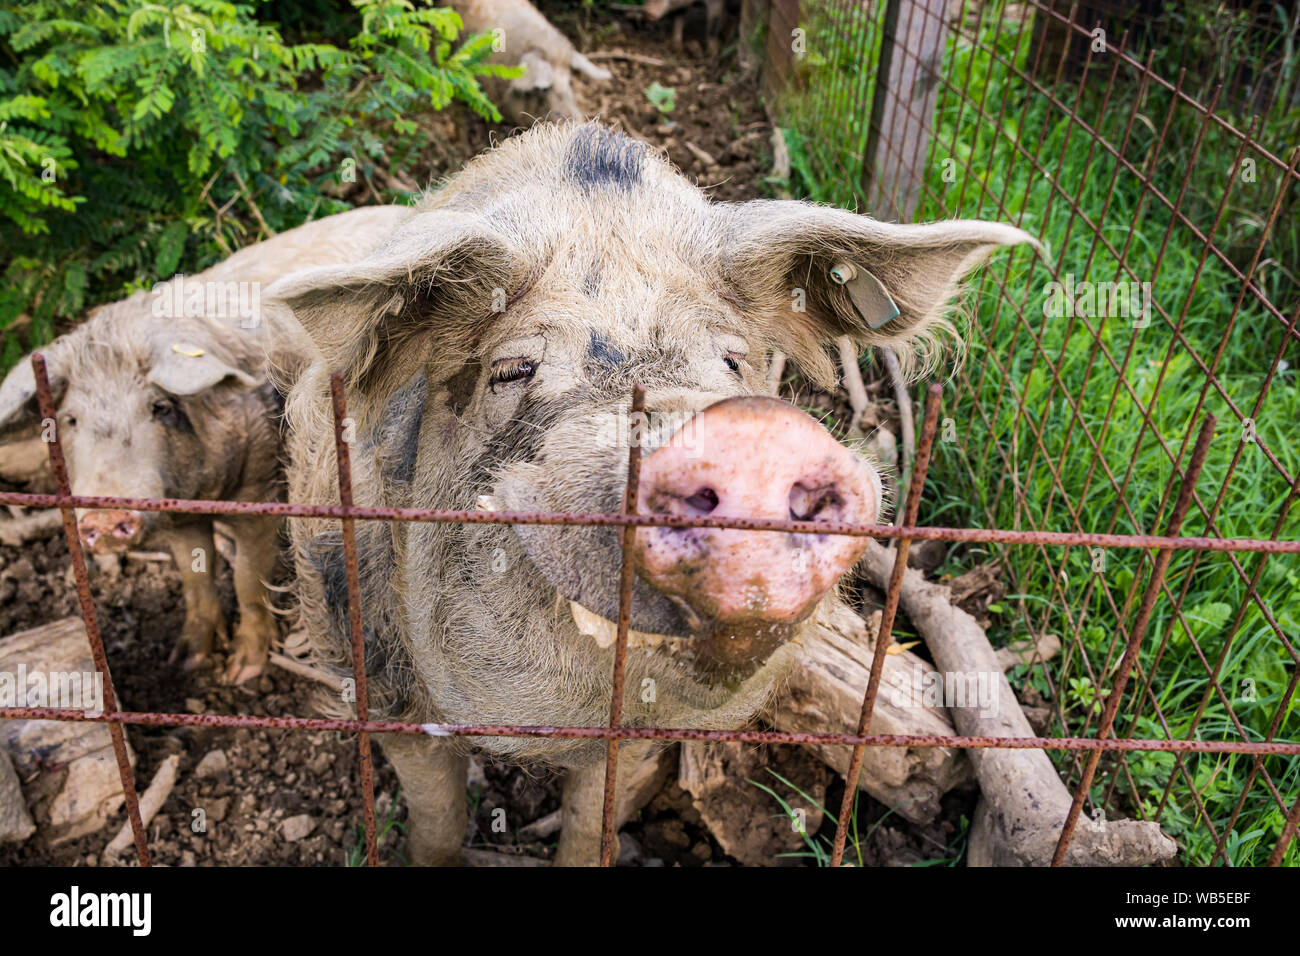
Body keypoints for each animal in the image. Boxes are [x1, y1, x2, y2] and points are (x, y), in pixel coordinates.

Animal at [0, 205, 405, 686]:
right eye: (70, 419)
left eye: (159, 407)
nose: (104, 513)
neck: (204, 494)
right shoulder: (175, 512)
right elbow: (196, 580)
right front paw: (187, 661)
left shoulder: (261, 491)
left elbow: (247, 580)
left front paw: (241, 673)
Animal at [271, 123, 1034, 863]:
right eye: (512, 370)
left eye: (734, 360)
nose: (748, 436)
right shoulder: (370, 669)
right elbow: (436, 815)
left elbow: (593, 822)